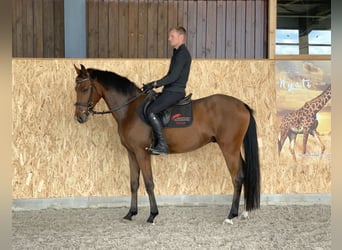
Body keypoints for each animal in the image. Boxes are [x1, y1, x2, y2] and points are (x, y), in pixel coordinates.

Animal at [73, 64, 260, 225]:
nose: (79, 117)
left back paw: (231, 215)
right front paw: (130, 213)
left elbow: (149, 183)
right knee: (244, 173)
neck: (130, 109)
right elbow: (134, 183)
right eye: (76, 89)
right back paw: (244, 212)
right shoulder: (131, 153)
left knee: (237, 177)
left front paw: (152, 215)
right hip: (234, 149)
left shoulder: (141, 152)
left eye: (85, 89)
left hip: (229, 148)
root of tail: (242, 105)